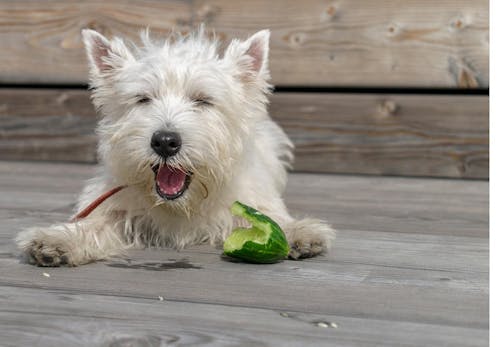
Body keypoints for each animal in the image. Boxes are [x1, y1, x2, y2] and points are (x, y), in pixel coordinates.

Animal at [15, 27, 336, 266]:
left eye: (203, 100)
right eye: (143, 99)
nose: (165, 141)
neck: (182, 206)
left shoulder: (255, 199)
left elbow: (272, 218)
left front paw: (299, 232)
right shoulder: (114, 205)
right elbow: (94, 224)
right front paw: (56, 240)